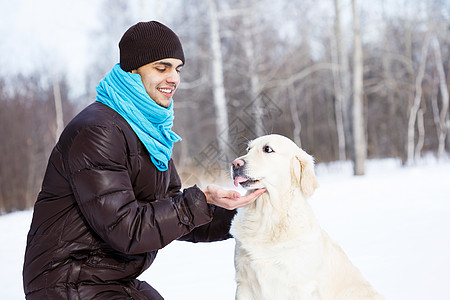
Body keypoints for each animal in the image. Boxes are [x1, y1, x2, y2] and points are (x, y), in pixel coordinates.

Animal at [230, 135, 382, 298]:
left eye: (267, 149)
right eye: (248, 149)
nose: (235, 164)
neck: (267, 218)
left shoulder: (299, 286)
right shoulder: (244, 284)